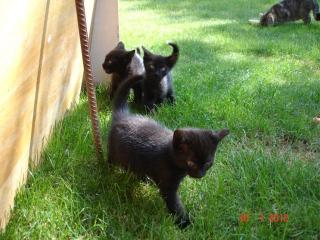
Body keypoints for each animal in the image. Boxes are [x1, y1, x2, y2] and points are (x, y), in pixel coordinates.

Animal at [109, 75, 229, 229]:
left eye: (208, 163)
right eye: (191, 162)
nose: (200, 175)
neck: (170, 156)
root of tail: (123, 116)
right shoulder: (168, 187)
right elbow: (174, 204)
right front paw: (184, 223)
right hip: (114, 152)